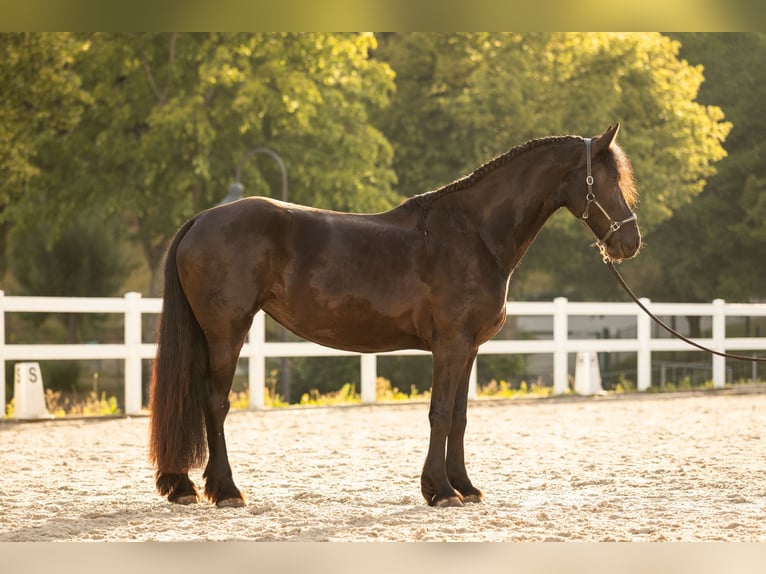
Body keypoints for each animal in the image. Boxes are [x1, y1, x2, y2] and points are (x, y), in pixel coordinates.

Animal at [149, 123, 641, 508]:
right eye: (604, 179)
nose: (630, 242)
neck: (474, 234)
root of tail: (201, 220)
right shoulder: (450, 345)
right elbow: (439, 413)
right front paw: (441, 490)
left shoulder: (469, 348)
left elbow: (459, 416)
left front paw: (464, 486)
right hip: (226, 331)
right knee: (215, 402)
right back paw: (226, 490)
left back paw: (183, 487)